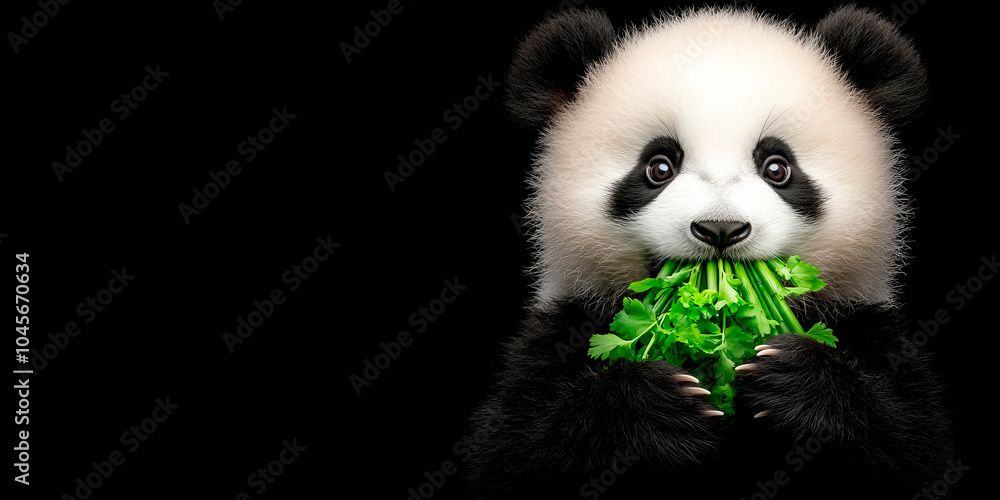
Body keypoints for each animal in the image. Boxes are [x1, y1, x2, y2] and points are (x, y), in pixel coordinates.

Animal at [468, 5, 956, 499]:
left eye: (777, 168)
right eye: (659, 167)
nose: (721, 229)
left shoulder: (867, 324)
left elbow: (911, 445)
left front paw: (791, 377)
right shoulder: (560, 327)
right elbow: (517, 453)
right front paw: (656, 404)